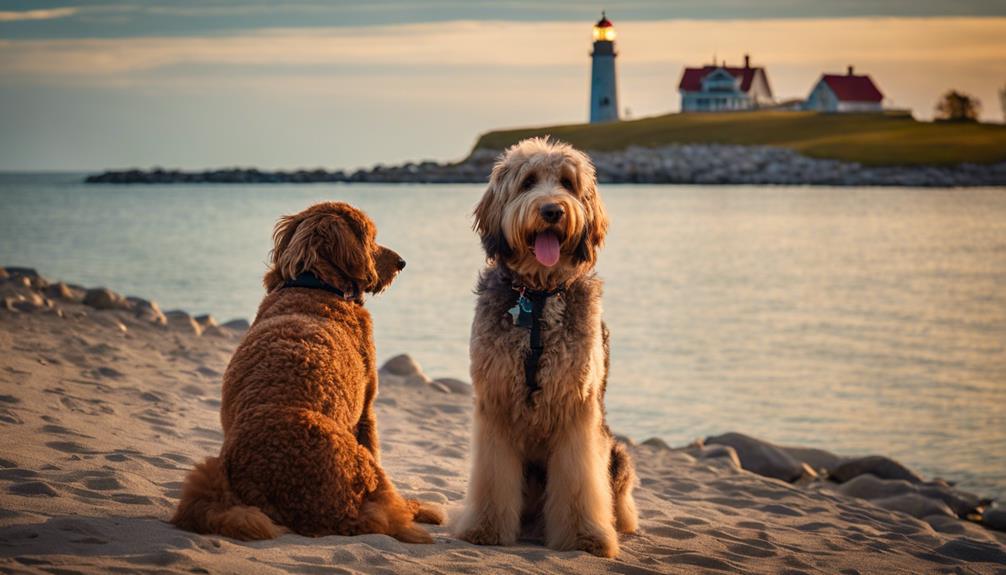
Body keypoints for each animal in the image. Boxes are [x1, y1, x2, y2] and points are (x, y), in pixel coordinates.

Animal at [172, 202, 444, 542]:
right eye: (371, 238)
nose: (402, 263)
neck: (314, 284)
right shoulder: (367, 410)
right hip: (362, 462)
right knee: (388, 508)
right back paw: (420, 510)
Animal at [456, 137, 635, 558]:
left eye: (568, 183)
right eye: (528, 182)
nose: (553, 210)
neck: (537, 296)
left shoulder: (576, 408)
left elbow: (578, 483)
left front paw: (585, 537)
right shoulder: (496, 402)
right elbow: (492, 479)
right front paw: (485, 528)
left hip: (616, 454)